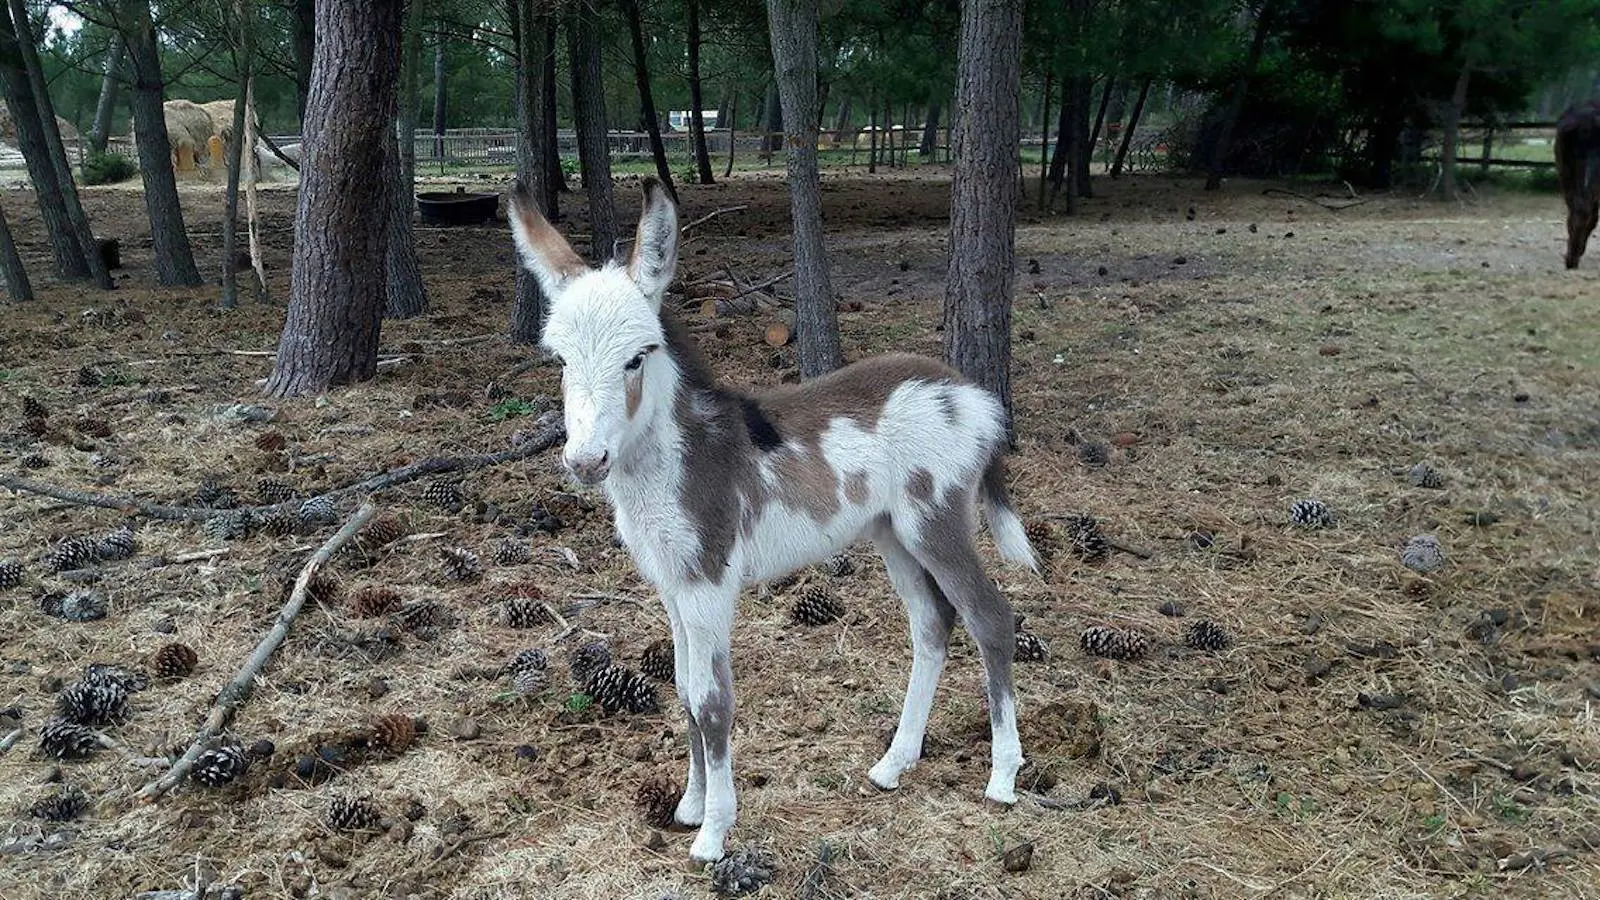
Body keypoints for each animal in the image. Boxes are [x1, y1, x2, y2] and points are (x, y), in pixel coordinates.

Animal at [508, 176, 1036, 864]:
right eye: (560, 360)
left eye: (638, 357)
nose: (585, 461)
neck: (676, 459)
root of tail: (968, 390)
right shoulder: (673, 586)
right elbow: (683, 690)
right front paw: (689, 805)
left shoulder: (709, 582)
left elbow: (712, 702)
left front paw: (713, 834)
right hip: (893, 533)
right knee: (933, 624)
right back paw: (893, 764)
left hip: (937, 522)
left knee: (990, 617)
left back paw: (1002, 776)